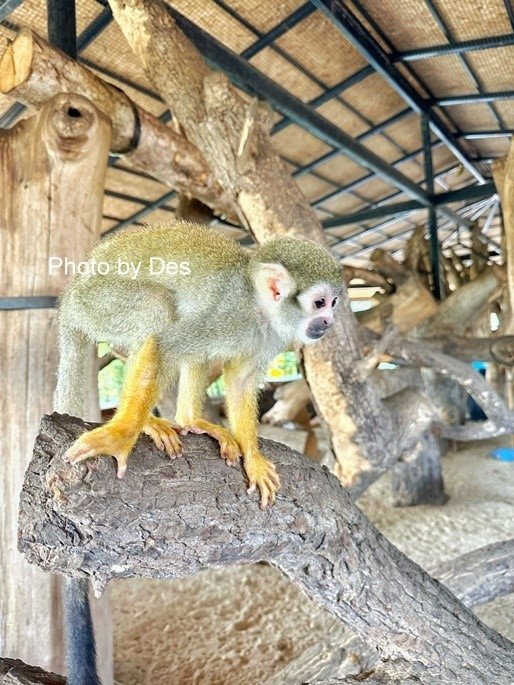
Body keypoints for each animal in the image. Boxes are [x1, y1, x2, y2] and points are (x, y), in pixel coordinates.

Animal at [54, 220, 342, 508]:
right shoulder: (227, 314)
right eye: (319, 303)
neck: (258, 310)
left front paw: (253, 458)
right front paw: (118, 437)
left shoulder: (271, 336)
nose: (329, 321)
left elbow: (241, 379)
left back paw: (190, 420)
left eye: (334, 303)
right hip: (94, 303)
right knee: (157, 307)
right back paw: (145, 422)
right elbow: (162, 346)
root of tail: (69, 296)